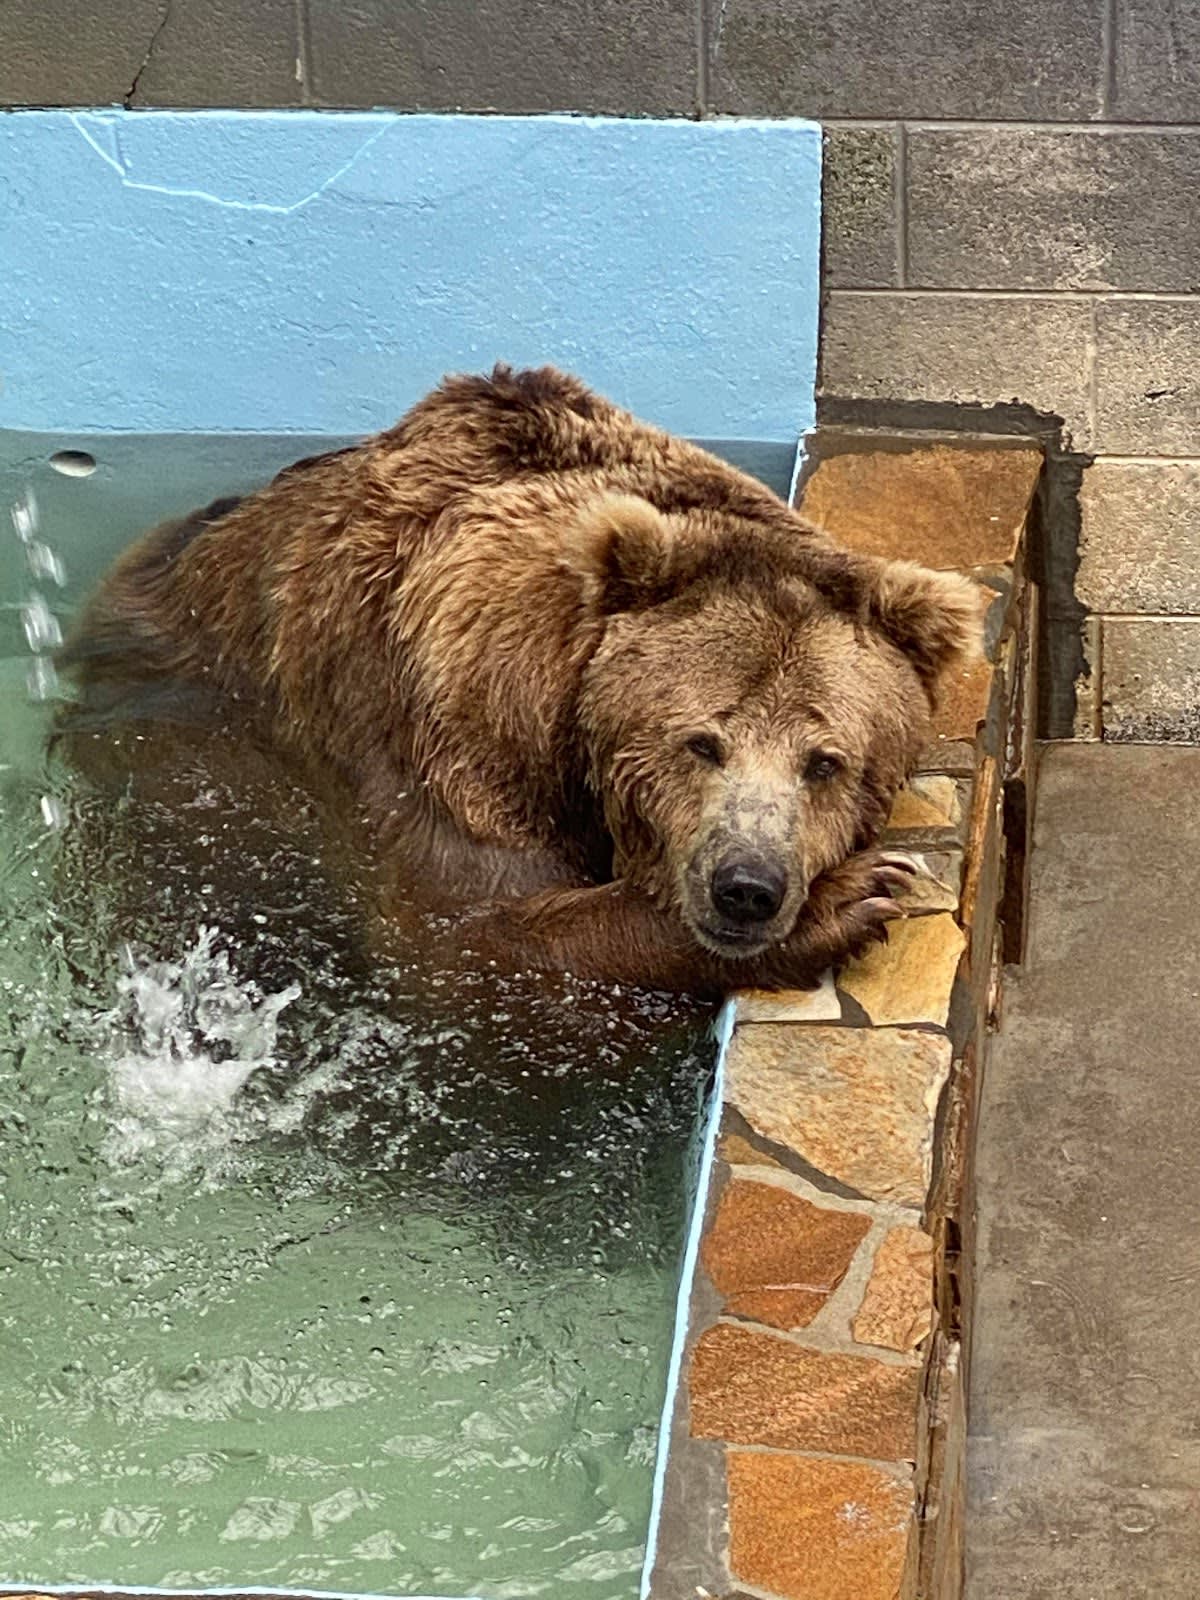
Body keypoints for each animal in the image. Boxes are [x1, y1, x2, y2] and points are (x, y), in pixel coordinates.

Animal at [63, 365, 982, 998]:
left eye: (825, 761)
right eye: (701, 742)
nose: (748, 888)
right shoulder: (446, 755)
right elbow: (473, 946)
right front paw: (854, 898)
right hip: (182, 760)